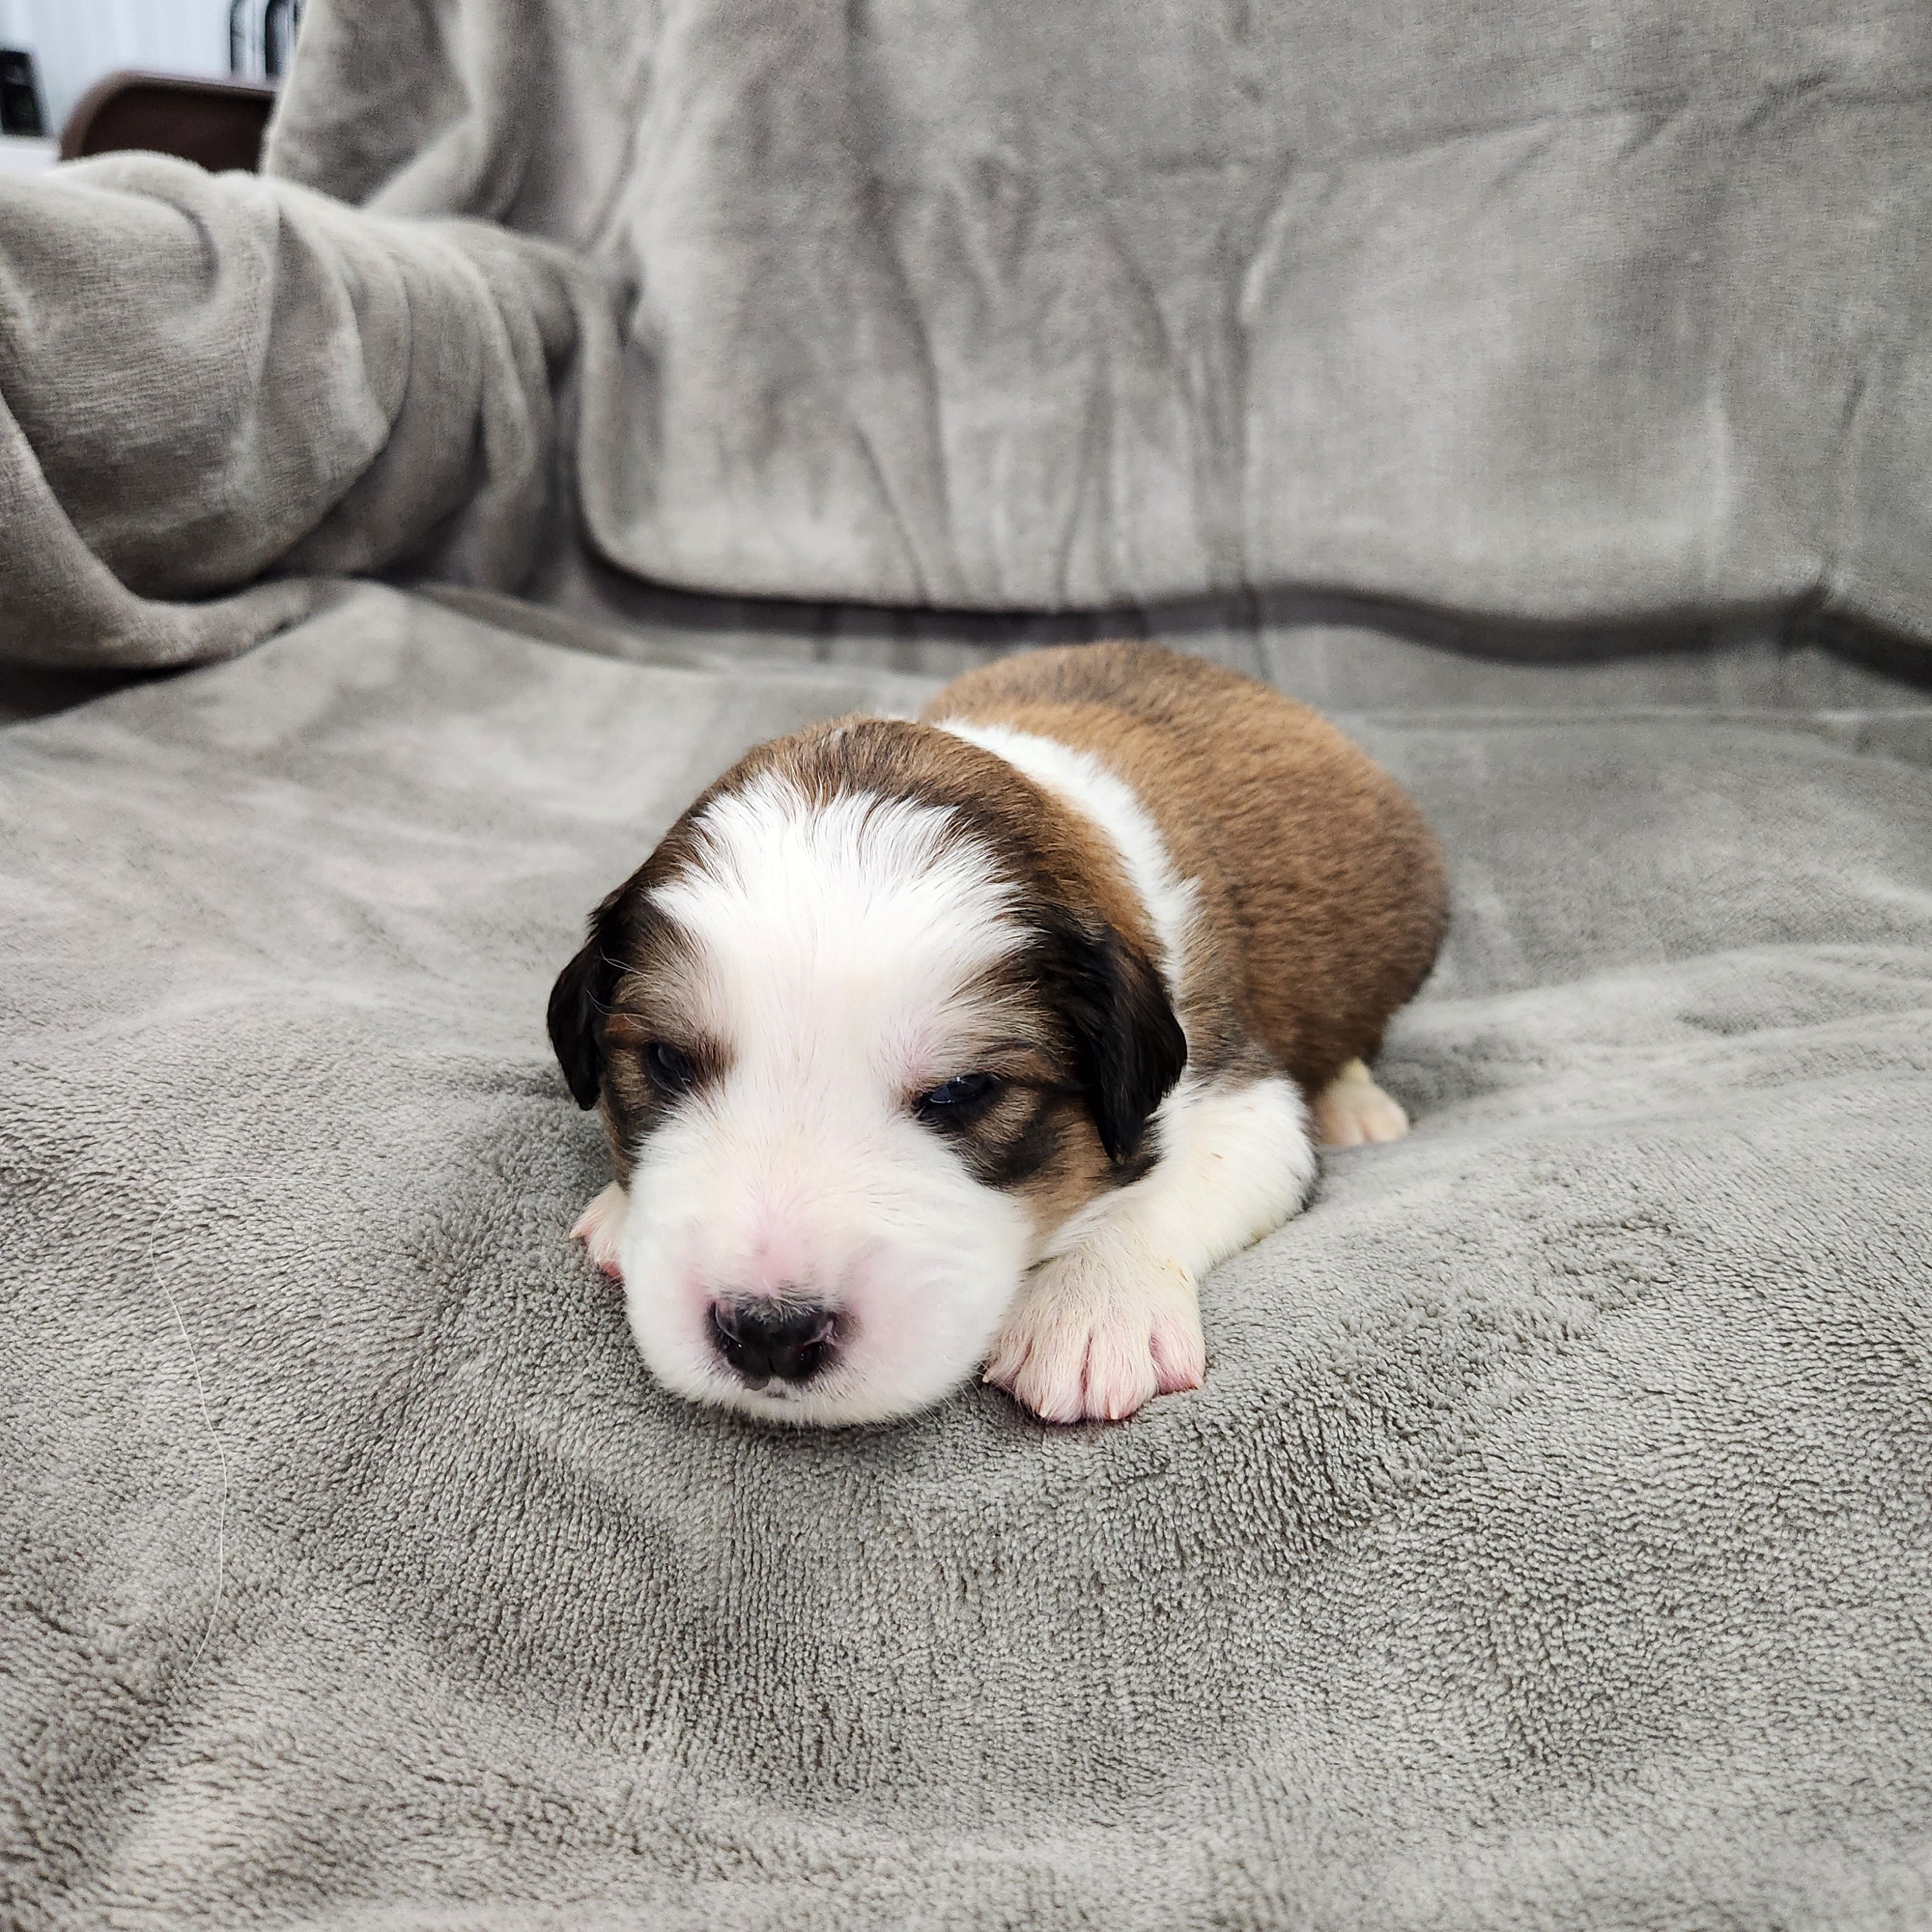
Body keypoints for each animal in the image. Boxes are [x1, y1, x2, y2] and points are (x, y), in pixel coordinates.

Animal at [552, 641, 1445, 1430]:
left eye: (960, 1091)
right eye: (667, 1061)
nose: (771, 1334)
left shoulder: (1243, 1094)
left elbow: (1176, 1178)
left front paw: (1092, 1304)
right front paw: (622, 1212)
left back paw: (1357, 1106)